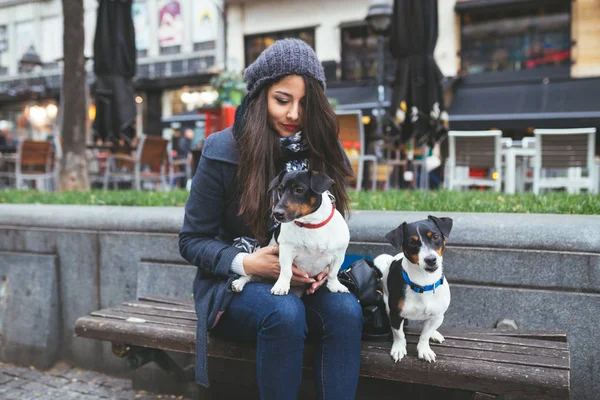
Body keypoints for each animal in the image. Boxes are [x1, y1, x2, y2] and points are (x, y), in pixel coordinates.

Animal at [372, 217, 452, 364]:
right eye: (411, 242)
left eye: (435, 236)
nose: (431, 260)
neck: (424, 283)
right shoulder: (396, 314)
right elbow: (399, 334)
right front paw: (399, 348)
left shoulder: (437, 315)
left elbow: (425, 334)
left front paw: (424, 349)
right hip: (387, 303)